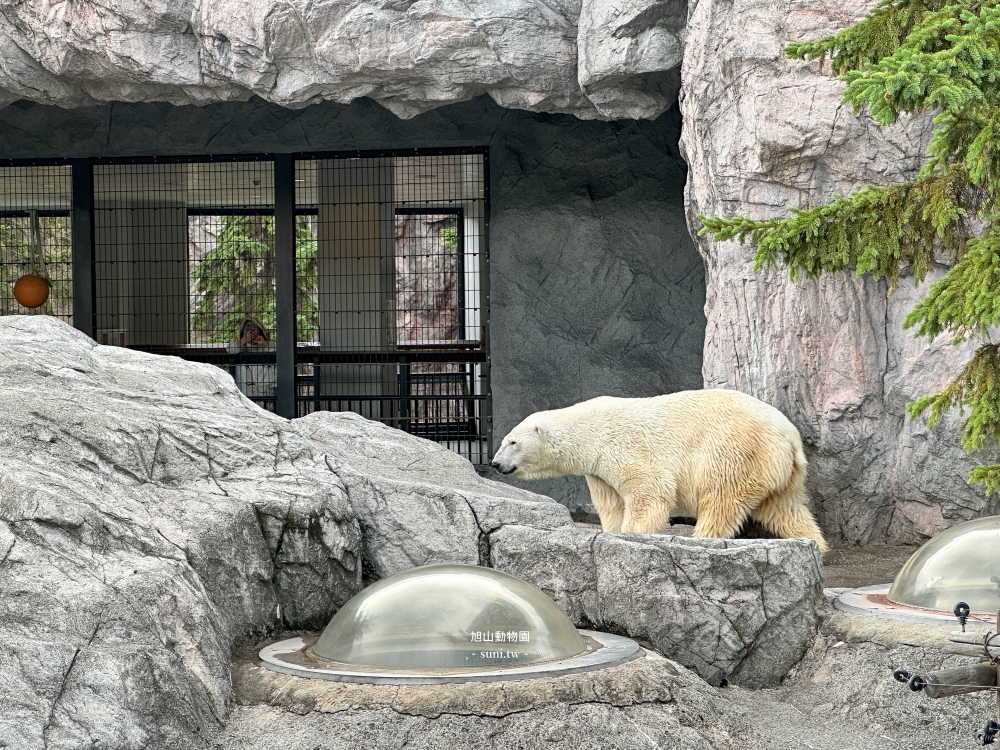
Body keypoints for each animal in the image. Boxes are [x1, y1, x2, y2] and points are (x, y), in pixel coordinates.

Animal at [490, 389, 828, 553]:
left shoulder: (621, 445)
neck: (589, 428)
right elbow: (611, 502)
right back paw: (818, 545)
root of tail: (790, 437)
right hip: (779, 472)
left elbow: (650, 488)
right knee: (785, 509)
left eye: (512, 441)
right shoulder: (598, 470)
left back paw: (701, 537)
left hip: (735, 452)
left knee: (721, 499)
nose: (495, 463)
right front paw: (612, 530)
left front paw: (633, 533)